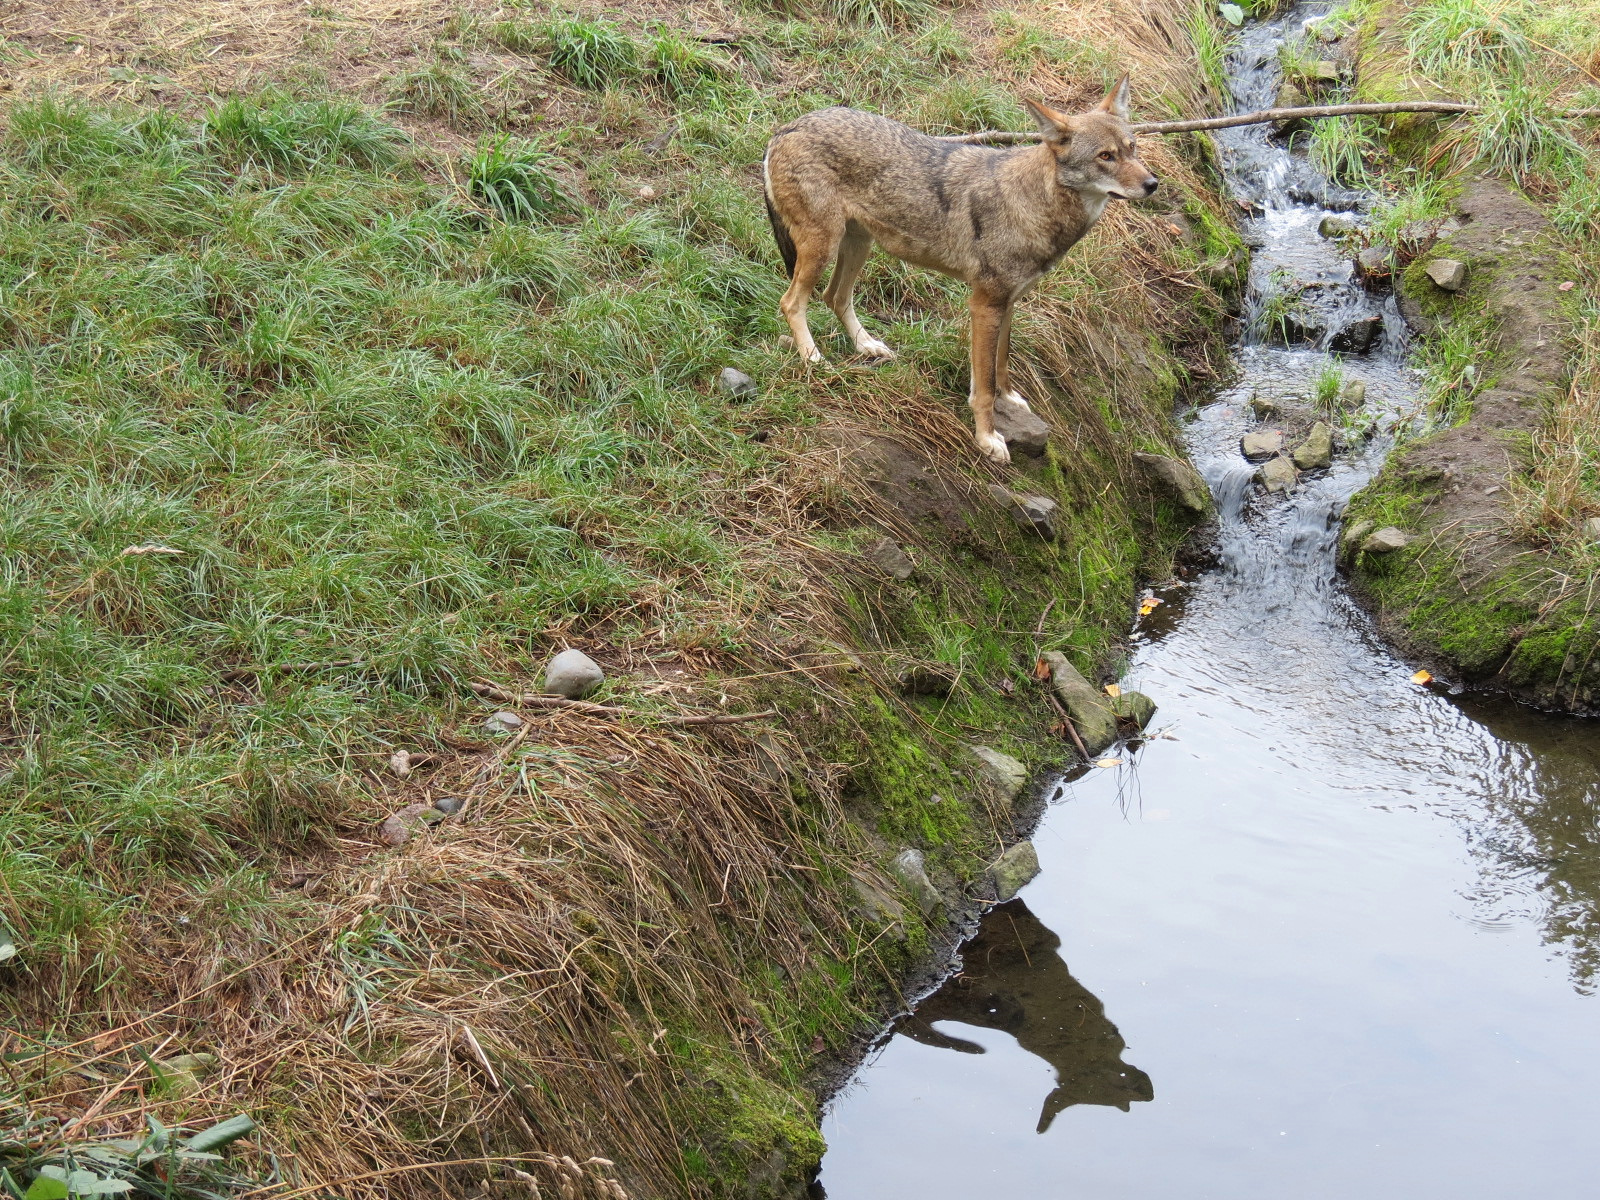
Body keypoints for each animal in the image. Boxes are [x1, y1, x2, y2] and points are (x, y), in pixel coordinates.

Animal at [762, 77, 1158, 464]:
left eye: (1132, 147)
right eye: (1105, 156)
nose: (1153, 184)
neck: (1032, 202)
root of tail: (786, 127)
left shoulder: (1008, 301)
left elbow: (1001, 363)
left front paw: (1009, 399)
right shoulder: (984, 304)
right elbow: (982, 386)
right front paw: (987, 440)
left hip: (858, 246)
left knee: (835, 296)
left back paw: (867, 346)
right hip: (823, 248)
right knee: (790, 302)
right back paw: (814, 360)